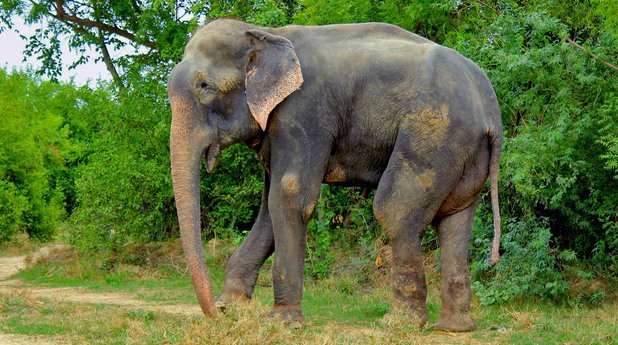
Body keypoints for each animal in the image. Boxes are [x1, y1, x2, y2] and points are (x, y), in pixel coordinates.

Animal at [167, 18, 500, 330]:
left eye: (205, 87)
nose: (213, 312)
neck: (266, 32)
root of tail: (490, 107)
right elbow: (270, 209)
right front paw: (232, 305)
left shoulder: (303, 111)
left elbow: (289, 196)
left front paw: (282, 322)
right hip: (465, 151)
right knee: (454, 220)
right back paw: (454, 328)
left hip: (434, 134)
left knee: (394, 210)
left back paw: (399, 323)